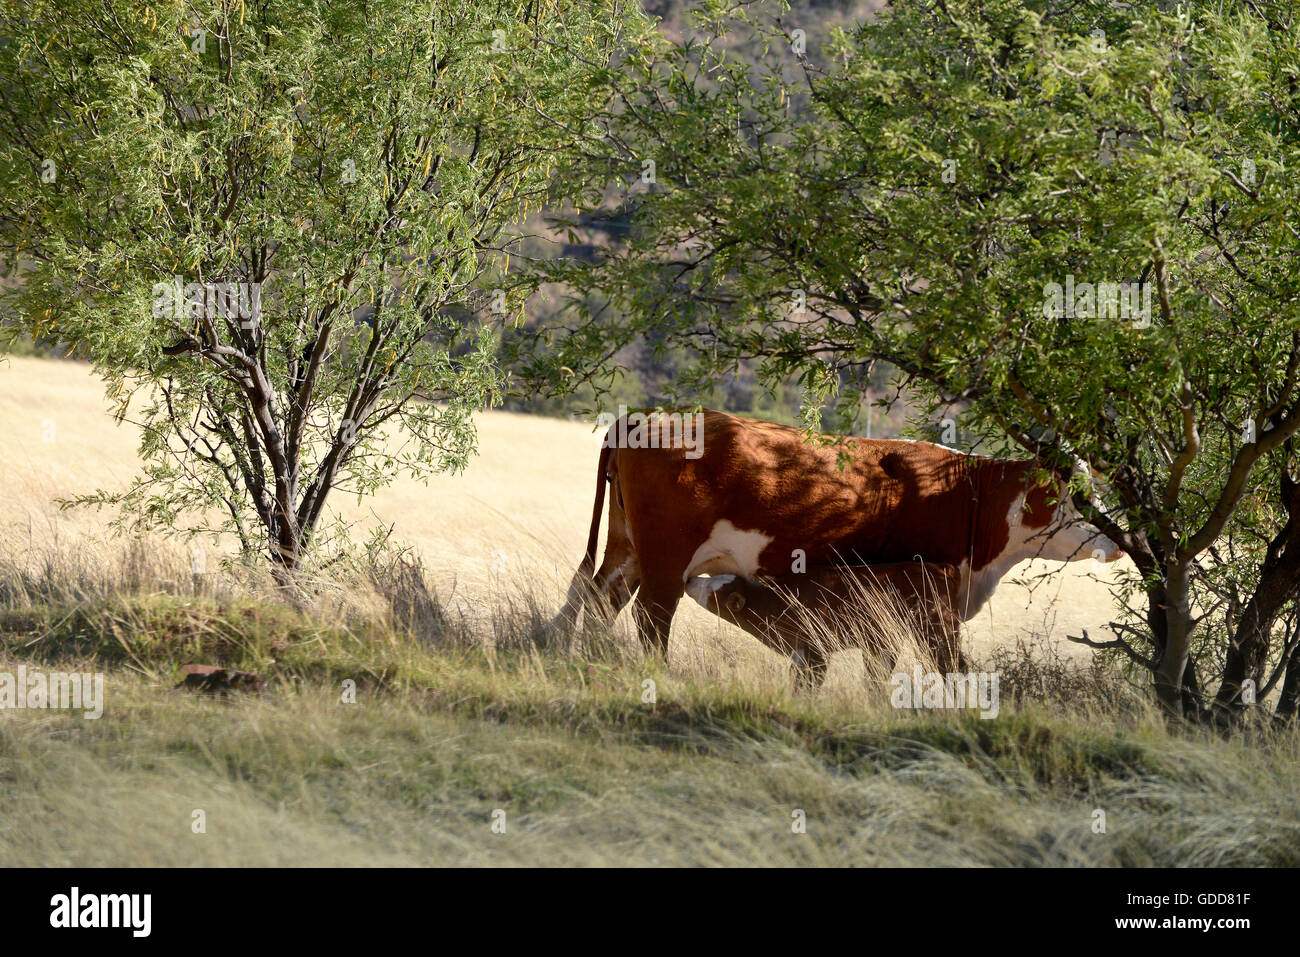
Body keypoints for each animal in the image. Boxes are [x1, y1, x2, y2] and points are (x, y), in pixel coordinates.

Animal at [555, 408, 1121, 657]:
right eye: (1078, 495)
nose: (1116, 541)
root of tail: (648, 415)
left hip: (627, 548)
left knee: (599, 600)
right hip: (666, 559)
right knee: (651, 620)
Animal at [684, 562, 966, 690]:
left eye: (714, 590)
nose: (690, 580)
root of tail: (942, 567)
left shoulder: (817, 650)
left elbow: (809, 683)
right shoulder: (798, 653)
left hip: (937, 627)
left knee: (952, 664)